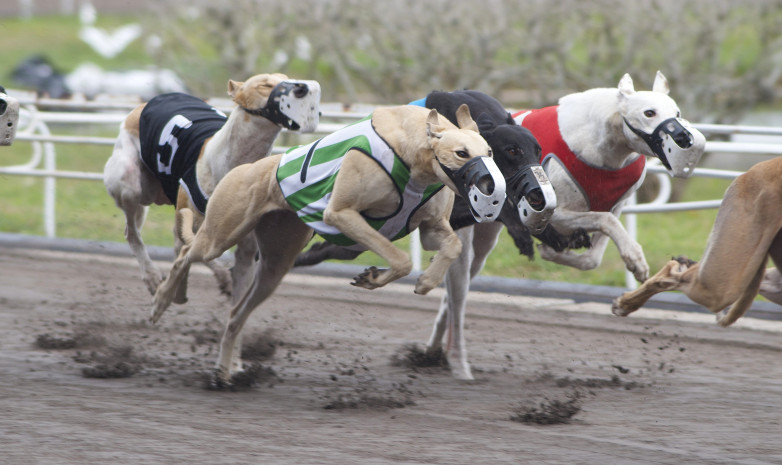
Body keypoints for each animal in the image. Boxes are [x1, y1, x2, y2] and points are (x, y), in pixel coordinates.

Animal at [102, 73, 320, 300]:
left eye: (287, 78)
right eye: (265, 84)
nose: (302, 89)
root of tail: (143, 105)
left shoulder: (247, 249)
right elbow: (195, 253)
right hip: (132, 184)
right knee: (132, 232)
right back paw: (151, 275)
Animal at [153, 104, 508, 384]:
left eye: (489, 152)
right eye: (461, 153)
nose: (491, 186)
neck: (415, 156)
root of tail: (244, 169)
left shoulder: (431, 227)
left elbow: (452, 246)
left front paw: (425, 281)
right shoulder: (341, 213)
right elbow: (400, 259)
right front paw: (376, 278)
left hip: (275, 264)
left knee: (235, 315)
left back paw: (224, 374)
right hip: (220, 233)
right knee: (185, 254)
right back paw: (163, 300)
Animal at [428, 71, 712, 376]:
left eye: (677, 112)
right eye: (649, 112)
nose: (684, 137)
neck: (599, 148)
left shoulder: (617, 205)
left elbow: (594, 254)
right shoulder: (550, 211)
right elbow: (600, 221)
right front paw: (633, 258)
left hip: (483, 243)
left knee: (452, 297)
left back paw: (434, 351)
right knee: (457, 295)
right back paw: (455, 360)